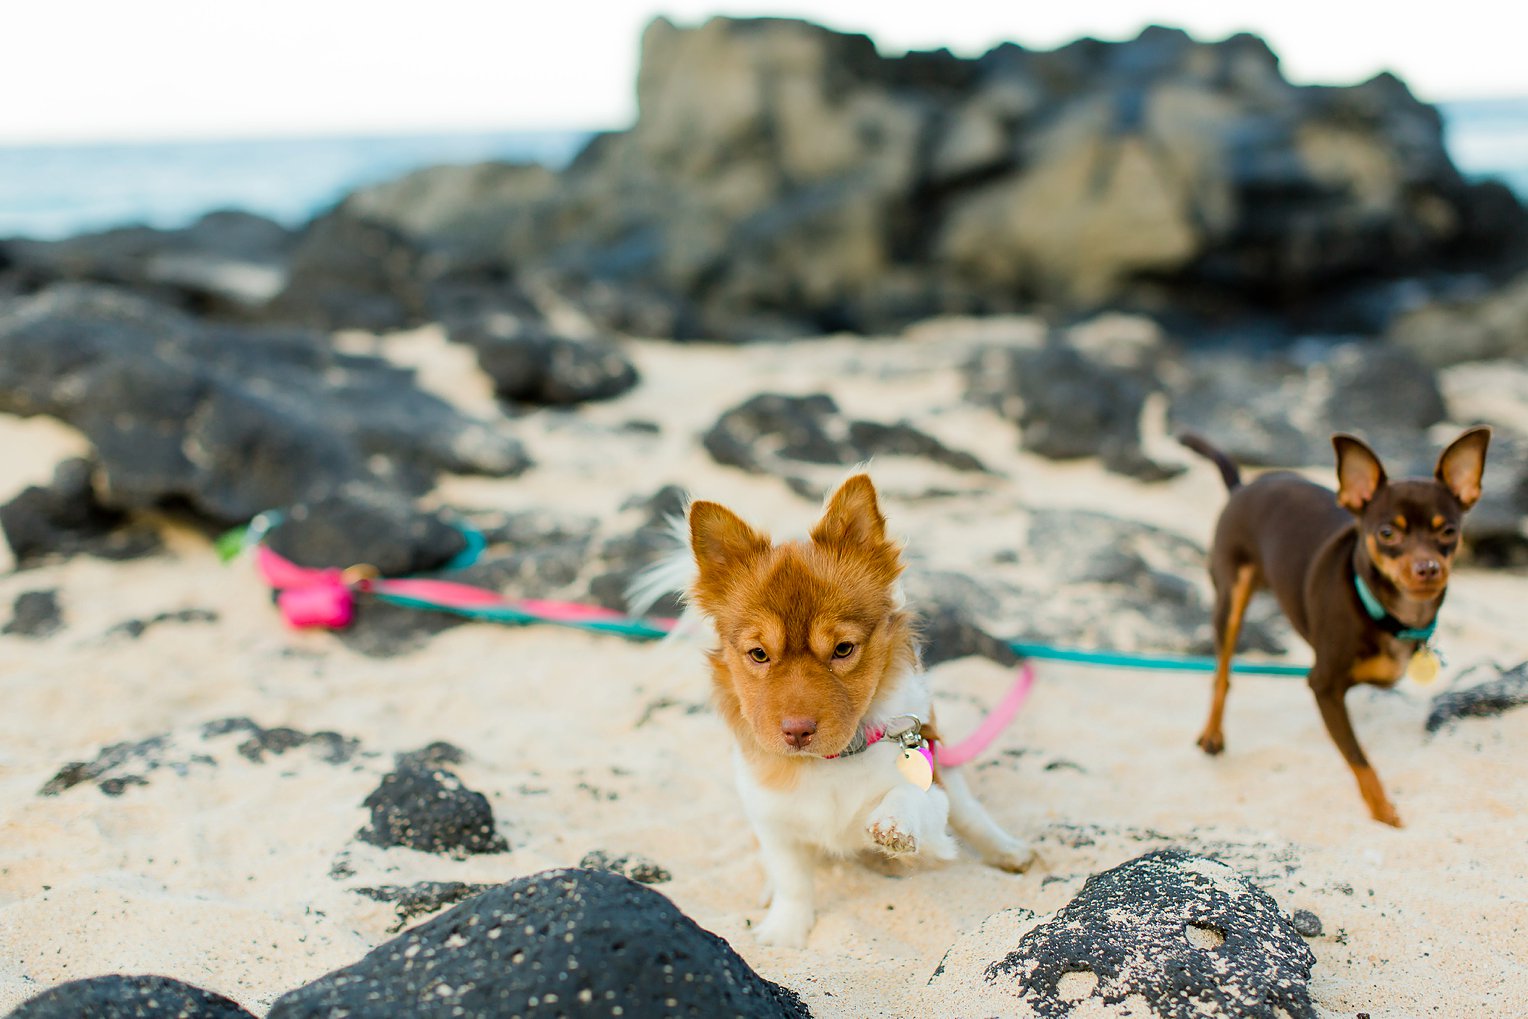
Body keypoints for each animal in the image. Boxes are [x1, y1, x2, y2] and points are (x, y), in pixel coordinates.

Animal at [650, 476, 1032, 947]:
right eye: (758, 654)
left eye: (843, 649)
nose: (796, 732)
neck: (832, 761)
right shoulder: (772, 819)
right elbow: (792, 878)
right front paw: (785, 931)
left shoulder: (930, 787)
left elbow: (911, 798)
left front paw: (893, 824)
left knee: (971, 812)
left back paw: (1008, 850)